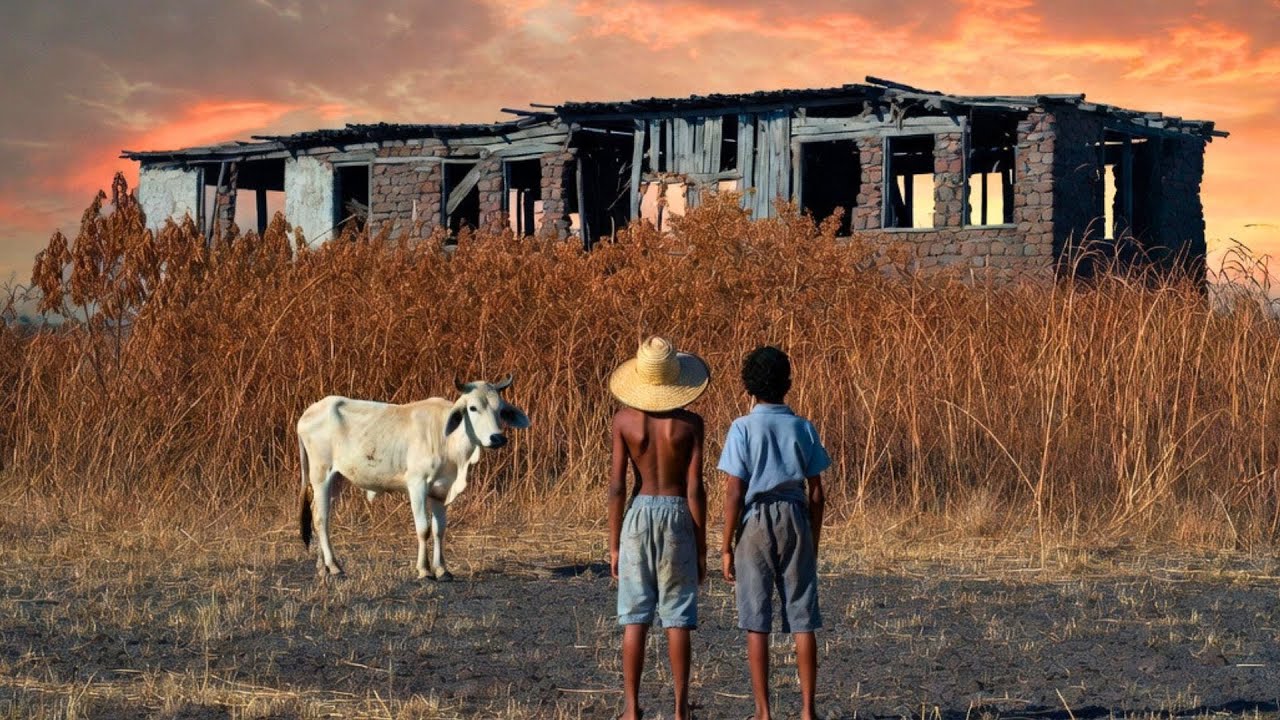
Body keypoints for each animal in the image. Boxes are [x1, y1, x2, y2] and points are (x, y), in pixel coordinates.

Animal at [296, 375, 530, 580]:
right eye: (472, 408)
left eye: (500, 409)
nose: (497, 438)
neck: (448, 440)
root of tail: (308, 413)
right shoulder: (417, 485)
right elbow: (423, 529)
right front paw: (425, 570)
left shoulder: (440, 491)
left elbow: (439, 530)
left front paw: (442, 570)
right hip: (321, 475)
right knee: (321, 519)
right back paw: (334, 567)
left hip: (337, 479)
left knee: (319, 515)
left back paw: (323, 567)